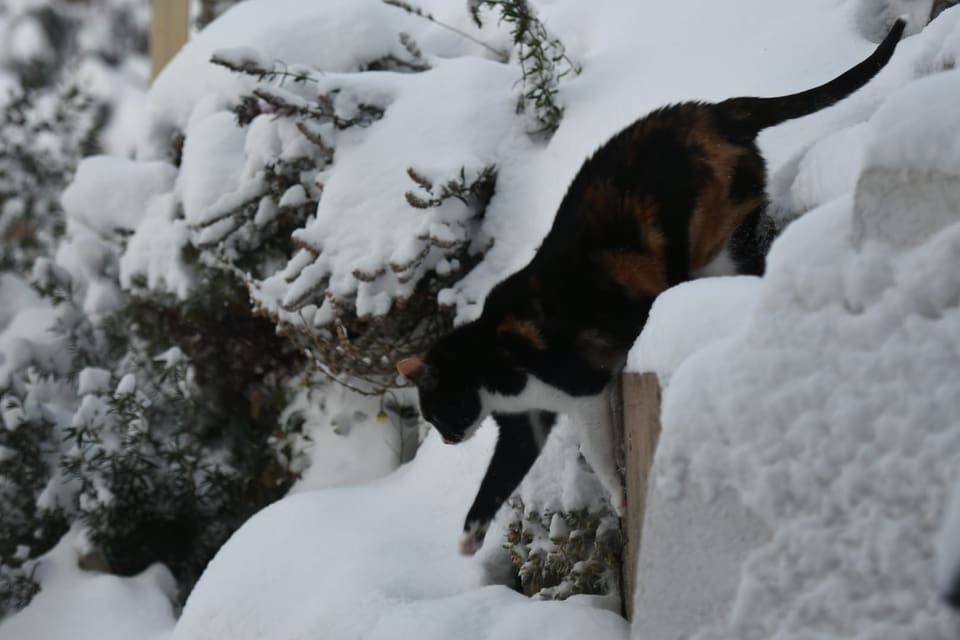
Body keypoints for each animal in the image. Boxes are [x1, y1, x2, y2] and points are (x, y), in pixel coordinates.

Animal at [396, 20, 900, 556]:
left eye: (437, 412)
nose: (447, 439)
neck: (492, 357)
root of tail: (717, 110)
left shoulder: (586, 390)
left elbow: (596, 450)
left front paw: (618, 496)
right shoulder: (525, 426)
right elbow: (497, 478)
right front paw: (469, 536)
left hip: (716, 244)